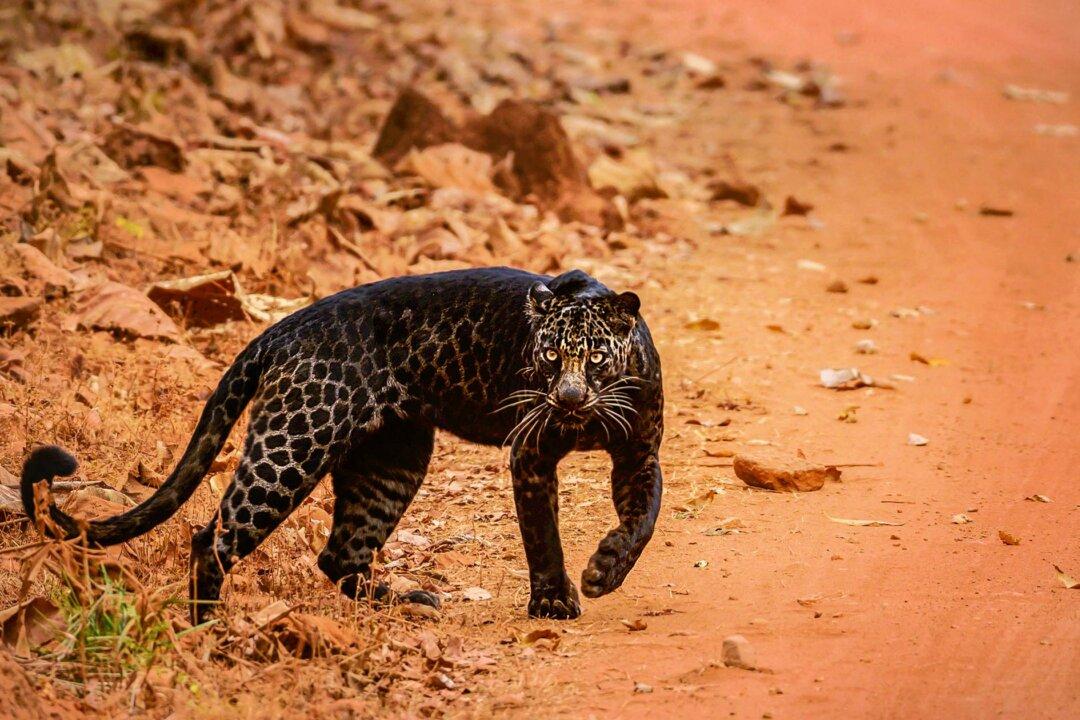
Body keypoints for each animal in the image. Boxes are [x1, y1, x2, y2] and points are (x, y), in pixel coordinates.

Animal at [21, 267, 663, 622]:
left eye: (595, 356)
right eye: (550, 355)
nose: (569, 398)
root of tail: (283, 327)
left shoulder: (639, 454)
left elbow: (644, 517)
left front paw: (605, 570)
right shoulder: (530, 455)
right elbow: (542, 533)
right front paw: (555, 601)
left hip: (392, 458)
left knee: (340, 553)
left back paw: (407, 602)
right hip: (293, 445)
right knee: (213, 538)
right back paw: (208, 627)